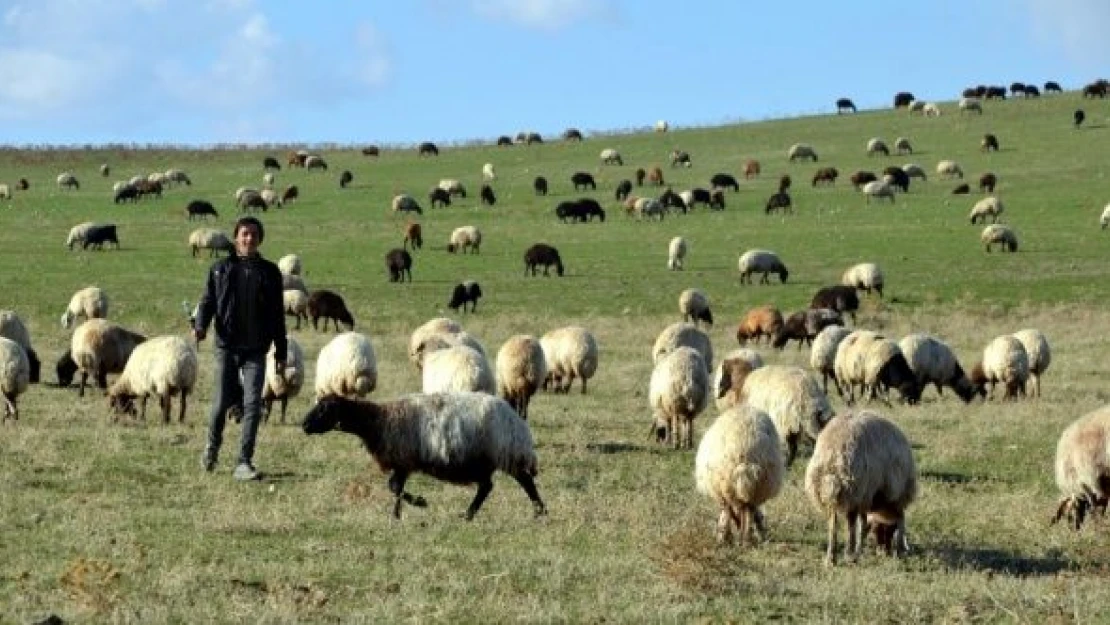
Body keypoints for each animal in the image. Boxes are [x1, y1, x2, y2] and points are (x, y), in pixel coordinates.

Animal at [301, 392, 548, 521]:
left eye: (323, 409)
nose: (303, 425)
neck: (378, 420)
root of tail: (515, 422)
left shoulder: (403, 459)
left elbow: (394, 487)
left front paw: (418, 503)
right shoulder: (402, 462)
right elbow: (395, 488)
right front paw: (397, 514)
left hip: (501, 454)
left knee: (521, 481)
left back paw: (538, 511)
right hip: (486, 461)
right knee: (489, 486)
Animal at [692, 406, 790, 543]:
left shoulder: (722, 495)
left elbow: (727, 514)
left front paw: (724, 536)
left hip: (729, 485)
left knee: (741, 512)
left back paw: (742, 539)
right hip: (755, 489)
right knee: (749, 511)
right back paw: (747, 538)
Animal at [808, 412, 919, 563]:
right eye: (885, 531)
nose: (884, 553)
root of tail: (835, 458)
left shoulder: (866, 497)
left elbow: (863, 522)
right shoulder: (887, 494)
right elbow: (897, 521)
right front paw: (901, 548)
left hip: (835, 495)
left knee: (833, 523)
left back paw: (831, 557)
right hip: (855, 490)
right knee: (850, 524)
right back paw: (849, 553)